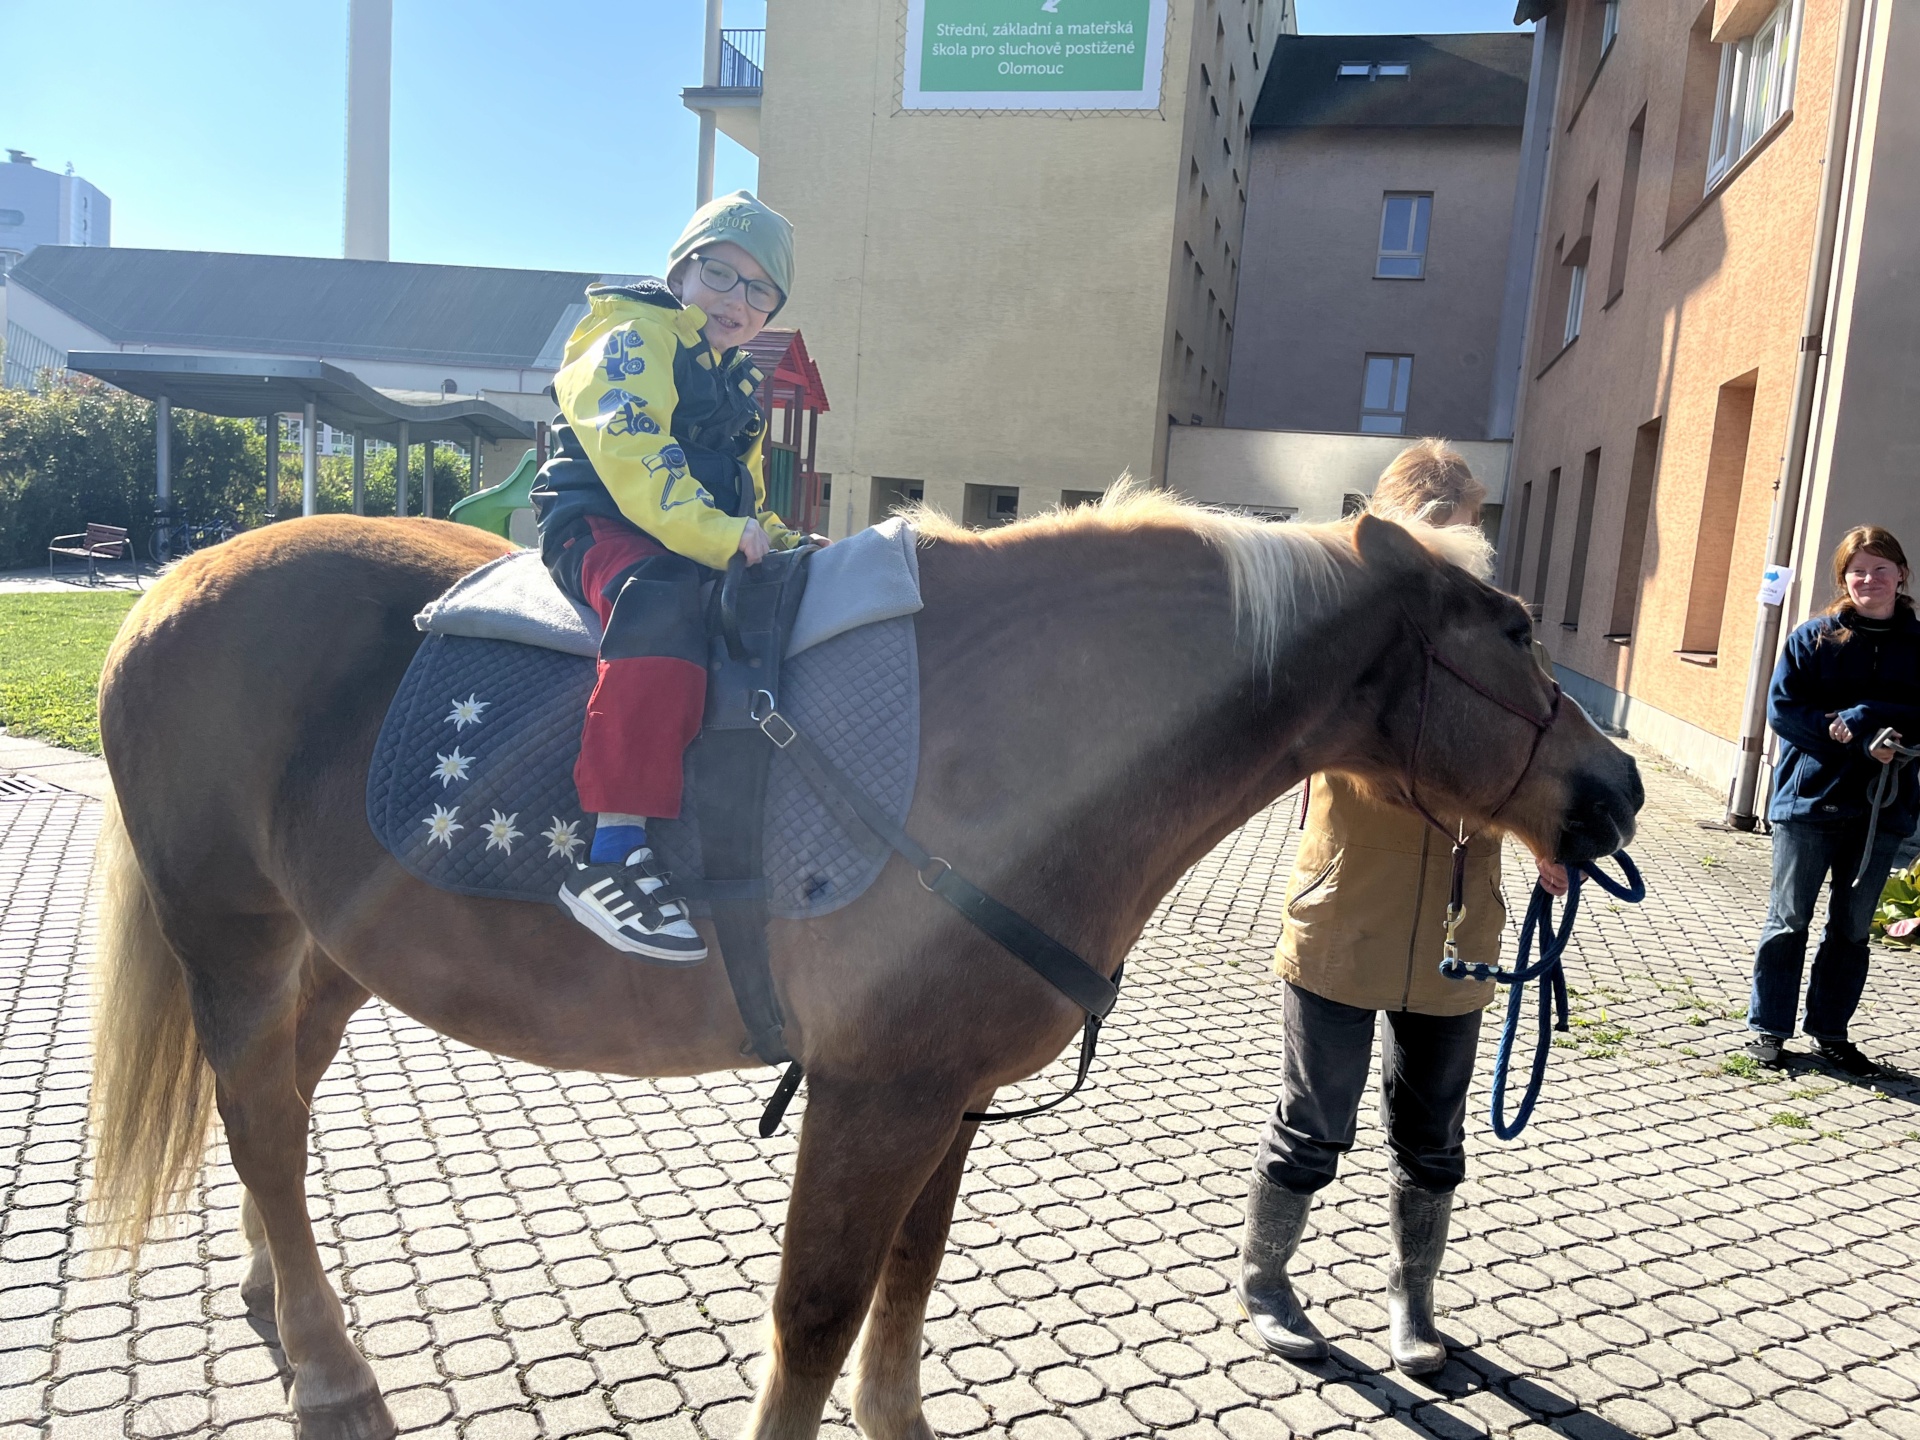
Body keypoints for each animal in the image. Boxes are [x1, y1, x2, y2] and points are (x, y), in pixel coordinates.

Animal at [86, 489, 1640, 1440]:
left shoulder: (943, 1098)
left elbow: (909, 1275)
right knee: (262, 1124)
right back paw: (330, 1369)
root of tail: (168, 588)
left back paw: (278, 1303)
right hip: (232, 934)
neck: (1013, 734)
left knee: (274, 1115)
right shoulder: (871, 1097)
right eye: (1512, 632)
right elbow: (820, 1313)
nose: (1615, 790)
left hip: (326, 954)